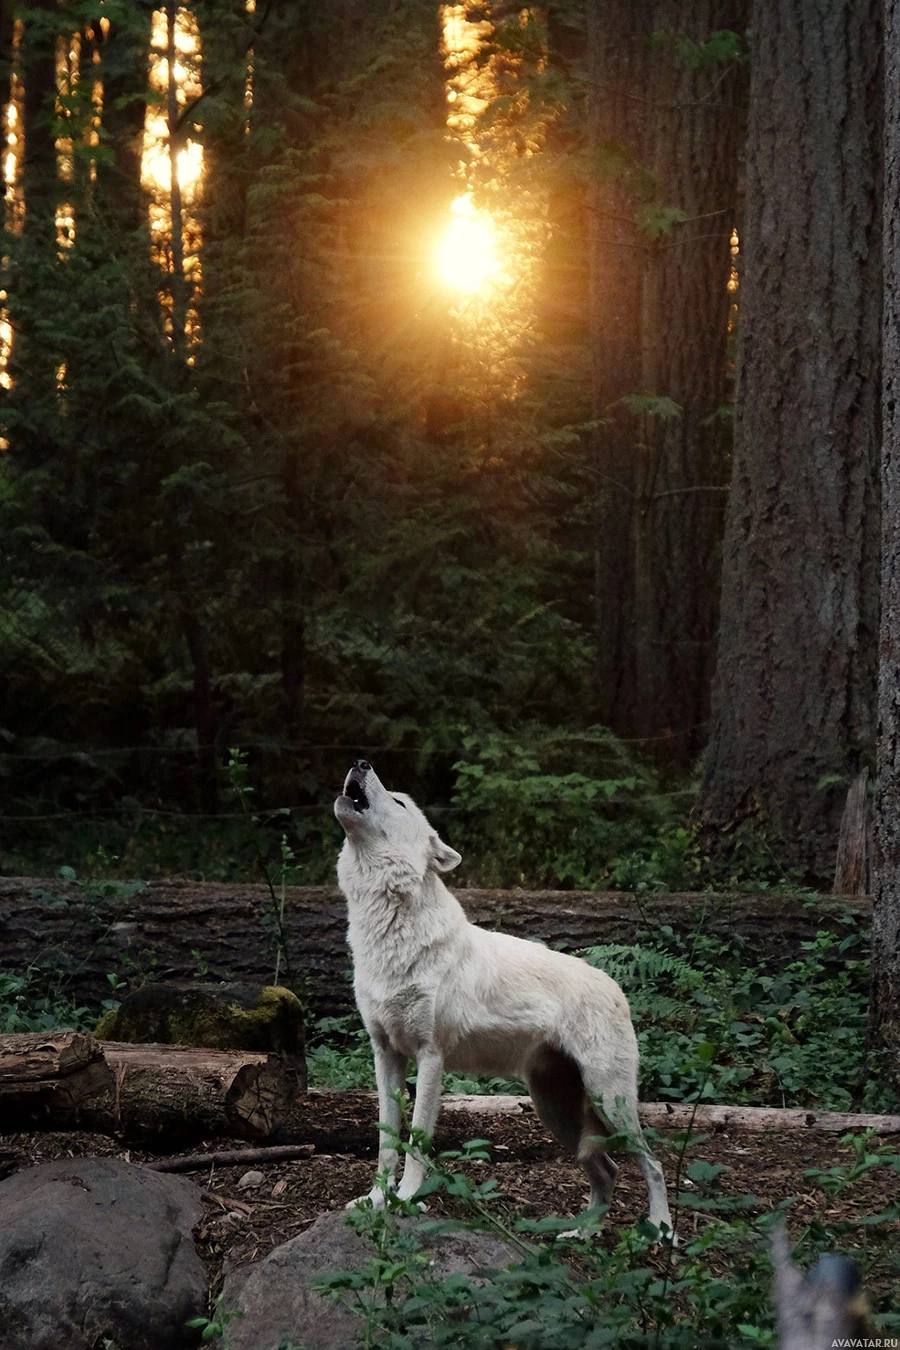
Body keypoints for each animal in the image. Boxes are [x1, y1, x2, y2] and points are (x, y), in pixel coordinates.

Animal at [334, 761, 671, 1236]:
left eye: (399, 801)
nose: (361, 763)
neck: (389, 931)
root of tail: (614, 985)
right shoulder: (385, 1056)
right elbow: (386, 1141)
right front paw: (376, 1200)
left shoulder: (431, 1057)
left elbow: (417, 1141)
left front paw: (406, 1199)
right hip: (556, 1111)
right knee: (609, 1170)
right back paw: (581, 1233)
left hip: (609, 1101)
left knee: (652, 1163)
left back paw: (662, 1228)